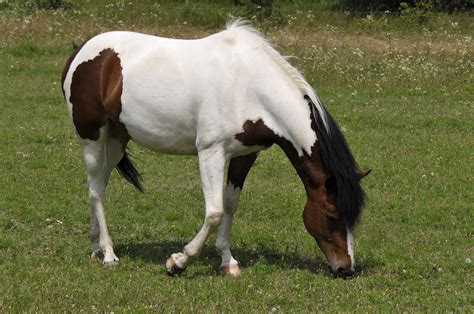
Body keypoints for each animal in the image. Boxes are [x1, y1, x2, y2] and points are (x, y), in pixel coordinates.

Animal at [60, 20, 370, 278]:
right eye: (331, 215)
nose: (346, 269)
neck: (250, 86)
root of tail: (82, 52)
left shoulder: (245, 155)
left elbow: (230, 205)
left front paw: (227, 261)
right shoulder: (210, 153)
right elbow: (214, 211)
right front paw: (178, 262)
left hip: (117, 138)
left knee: (99, 185)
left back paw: (96, 247)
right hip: (92, 138)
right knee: (95, 190)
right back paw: (109, 254)